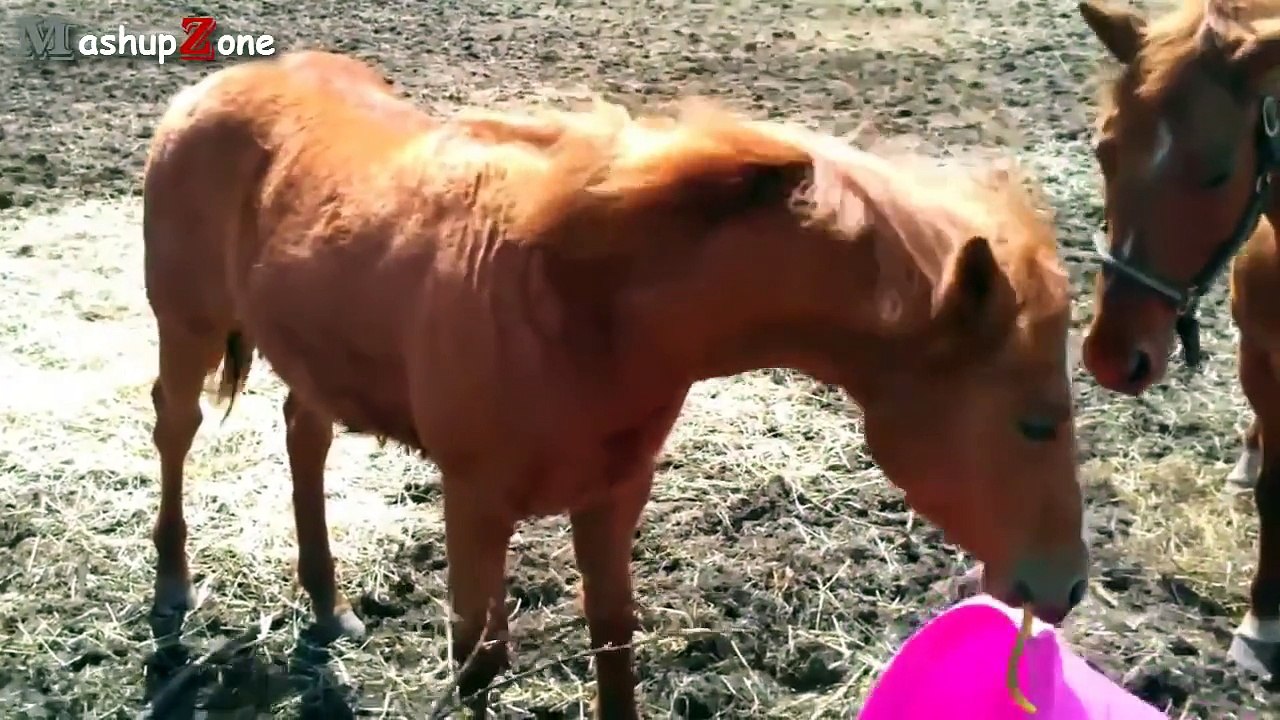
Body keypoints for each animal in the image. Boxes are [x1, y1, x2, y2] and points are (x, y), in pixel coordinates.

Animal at [142, 49, 1088, 716]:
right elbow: (478, 661)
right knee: (174, 429)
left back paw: (328, 604)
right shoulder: (472, 503)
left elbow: (613, 640)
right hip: (187, 330)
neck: (574, 297)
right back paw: (174, 588)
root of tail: (214, 86)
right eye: (1036, 423)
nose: (1071, 587)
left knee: (303, 435)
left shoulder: (611, 497)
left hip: (310, 353)